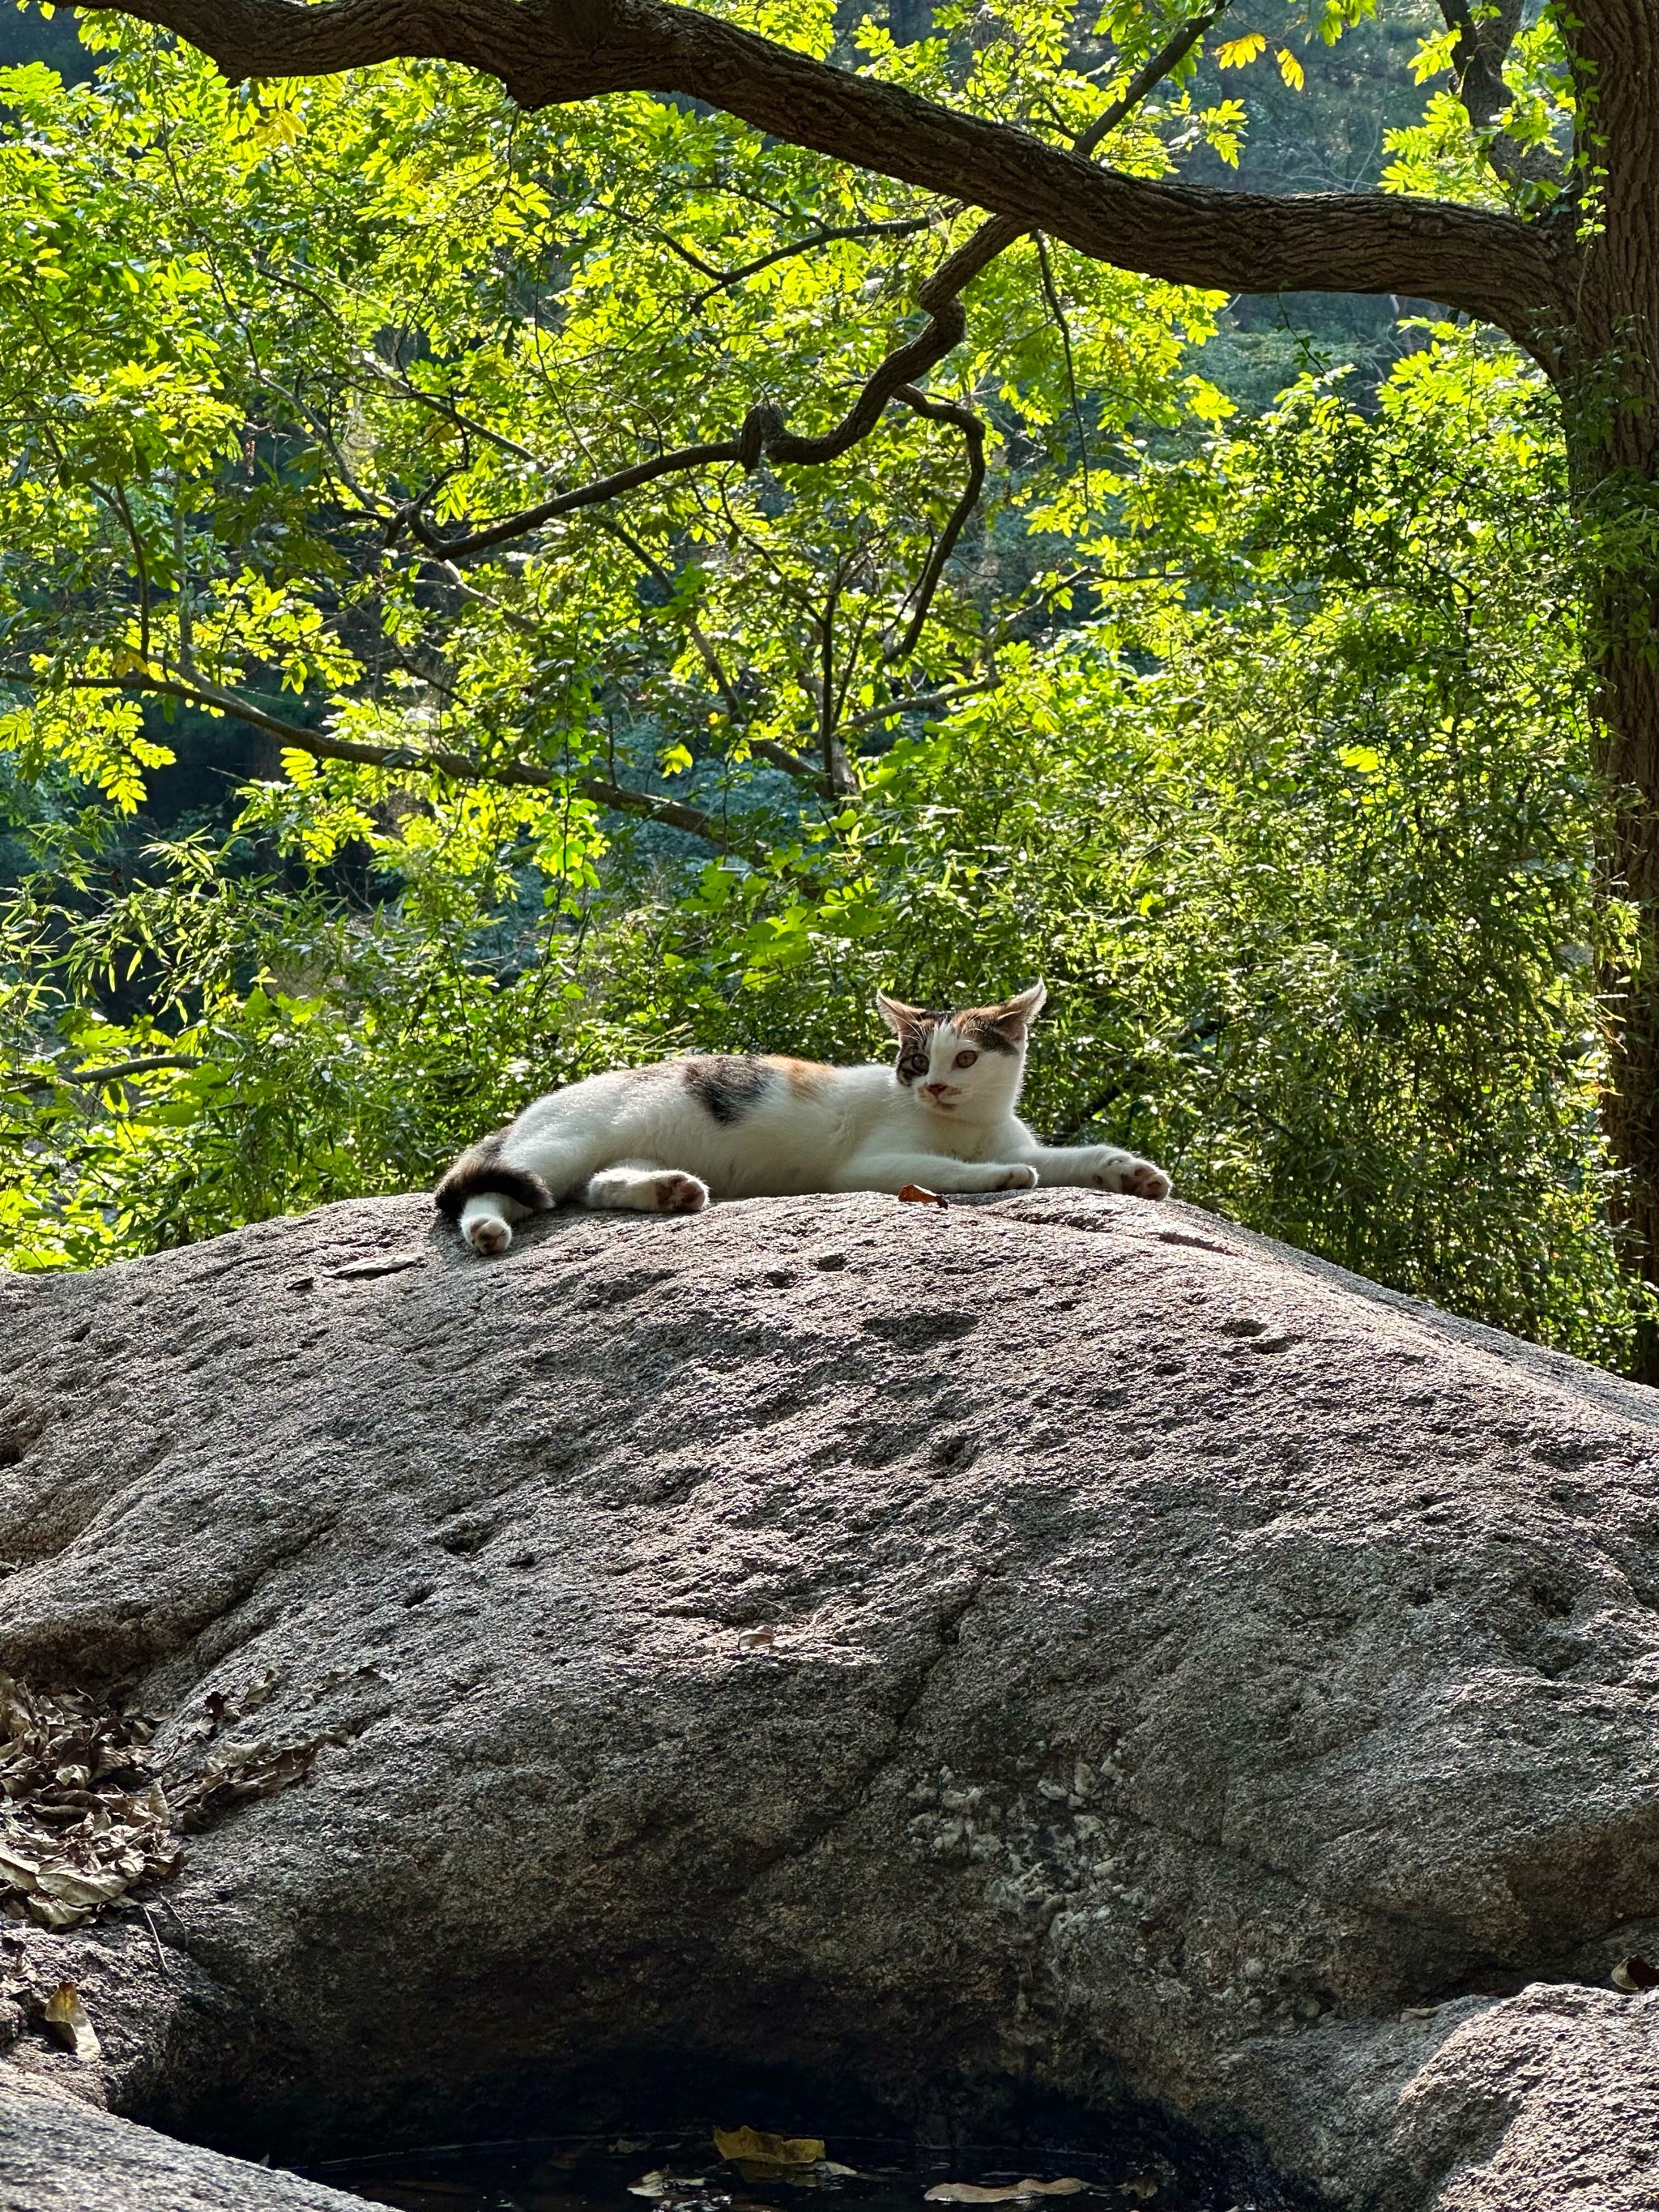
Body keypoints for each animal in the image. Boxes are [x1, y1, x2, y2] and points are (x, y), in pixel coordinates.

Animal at [435, 982, 1176, 1256]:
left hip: (615, 1157)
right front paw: (999, 1178)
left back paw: (671, 1191)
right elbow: (954, 1171)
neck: (968, 1128)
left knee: (600, 1186)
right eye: (915, 1060)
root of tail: (529, 1110)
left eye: (965, 1058)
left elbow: (1073, 1157)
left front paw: (1131, 1173)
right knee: (477, 1193)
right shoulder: (875, 1165)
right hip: (557, 1147)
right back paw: (489, 1230)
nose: (935, 1086)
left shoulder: (1013, 1137)